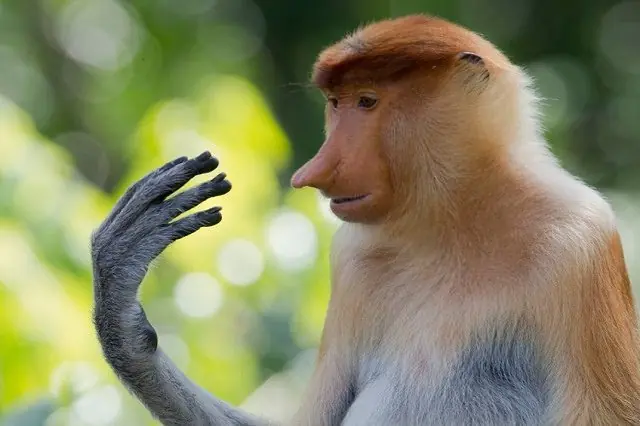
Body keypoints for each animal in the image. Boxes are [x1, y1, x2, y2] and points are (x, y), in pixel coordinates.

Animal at [91, 14, 640, 426]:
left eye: (368, 102)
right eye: (336, 104)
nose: (314, 171)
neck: (455, 221)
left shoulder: (579, 243)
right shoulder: (352, 261)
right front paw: (123, 311)